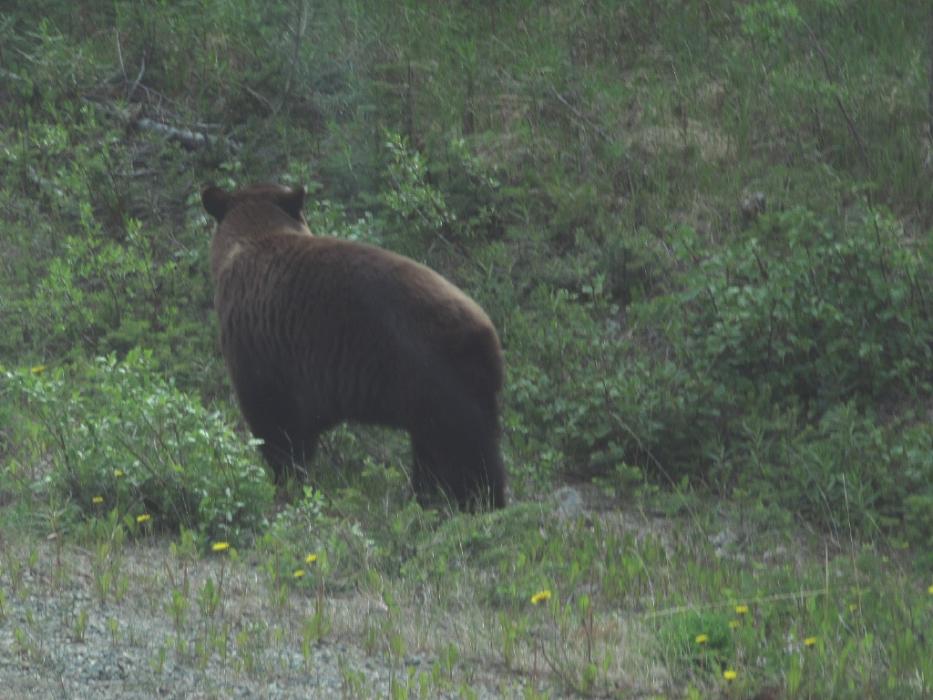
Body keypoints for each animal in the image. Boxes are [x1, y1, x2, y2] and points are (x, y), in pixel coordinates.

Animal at [201, 183, 507, 510]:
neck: (253, 237)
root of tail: (486, 332)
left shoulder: (259, 352)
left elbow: (275, 426)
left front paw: (285, 483)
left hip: (438, 382)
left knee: (464, 455)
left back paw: (478, 504)